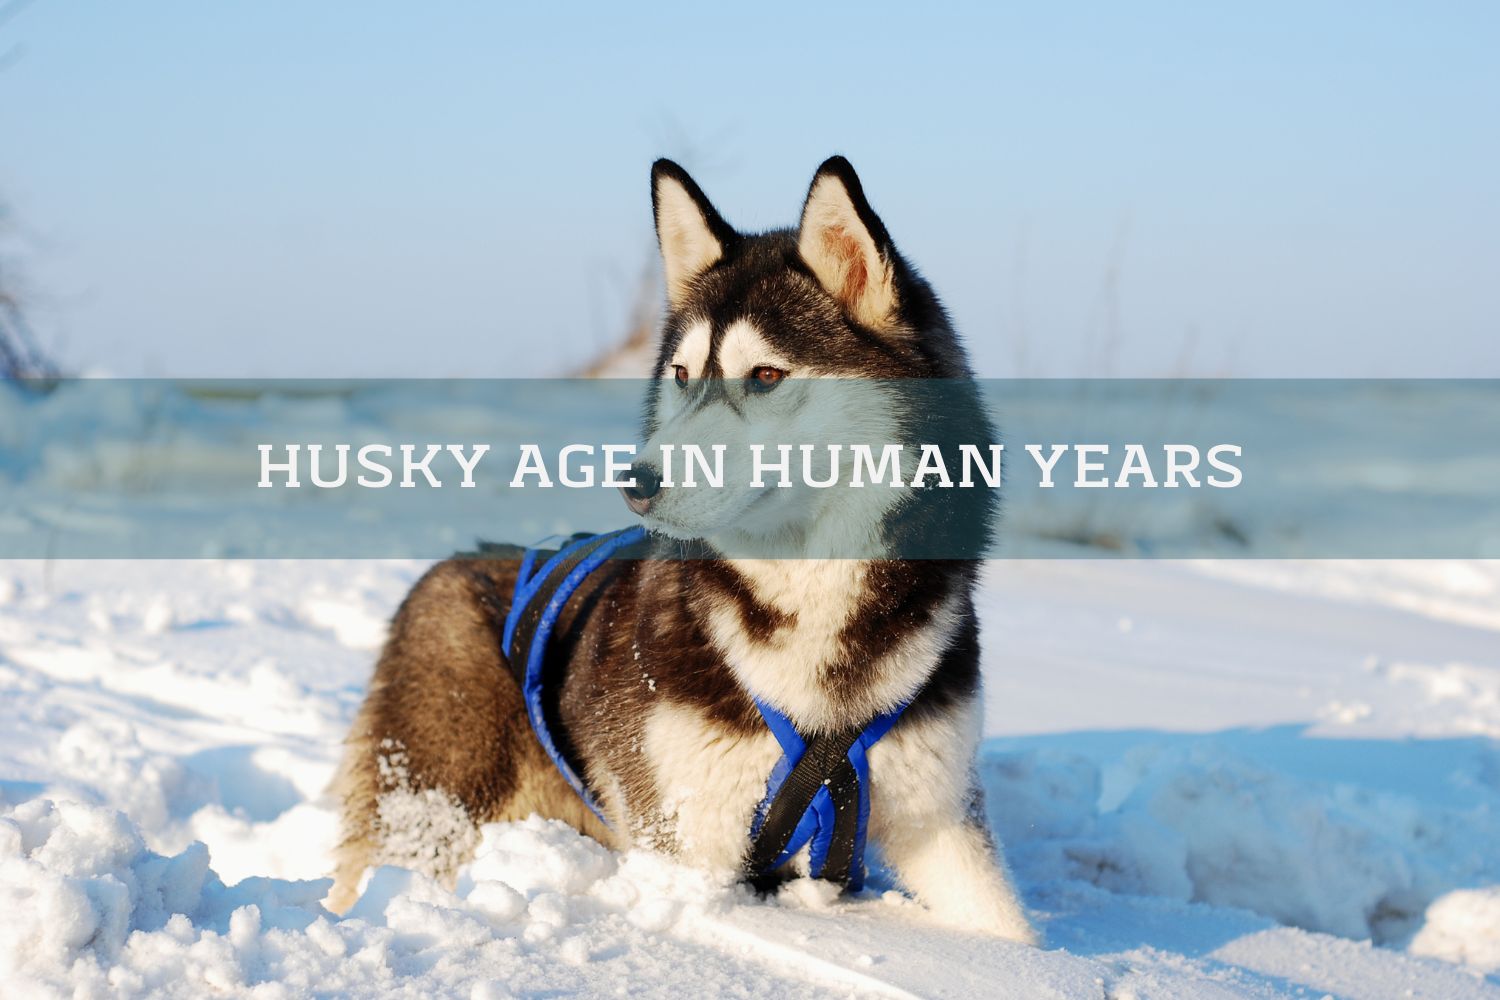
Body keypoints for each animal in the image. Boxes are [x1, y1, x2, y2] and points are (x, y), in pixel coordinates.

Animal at [330, 156, 1038, 947]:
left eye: (766, 375)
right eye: (680, 374)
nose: (634, 482)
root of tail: (457, 563)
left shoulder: (941, 822)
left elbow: (1015, 940)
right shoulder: (684, 846)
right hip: (437, 801)